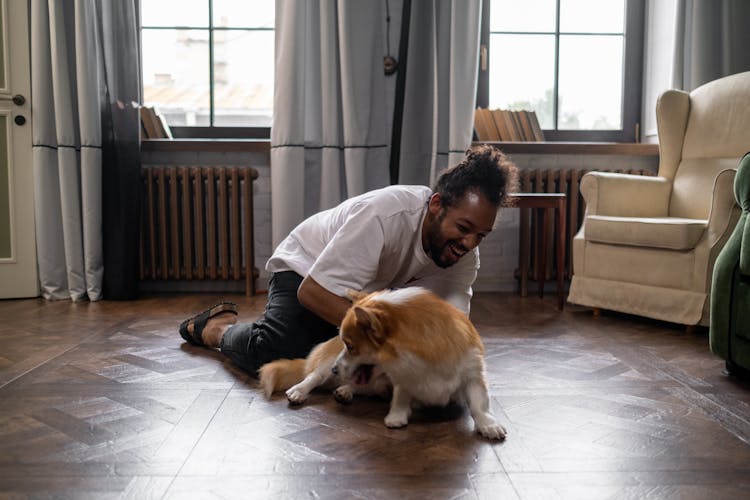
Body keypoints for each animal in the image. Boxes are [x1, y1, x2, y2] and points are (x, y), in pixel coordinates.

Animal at [258, 288, 506, 440]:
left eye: (351, 346)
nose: (335, 370)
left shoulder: (473, 373)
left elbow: (479, 403)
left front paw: (488, 425)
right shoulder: (402, 378)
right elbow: (401, 396)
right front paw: (396, 417)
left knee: (359, 387)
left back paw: (345, 391)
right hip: (325, 363)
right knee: (313, 377)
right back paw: (300, 391)